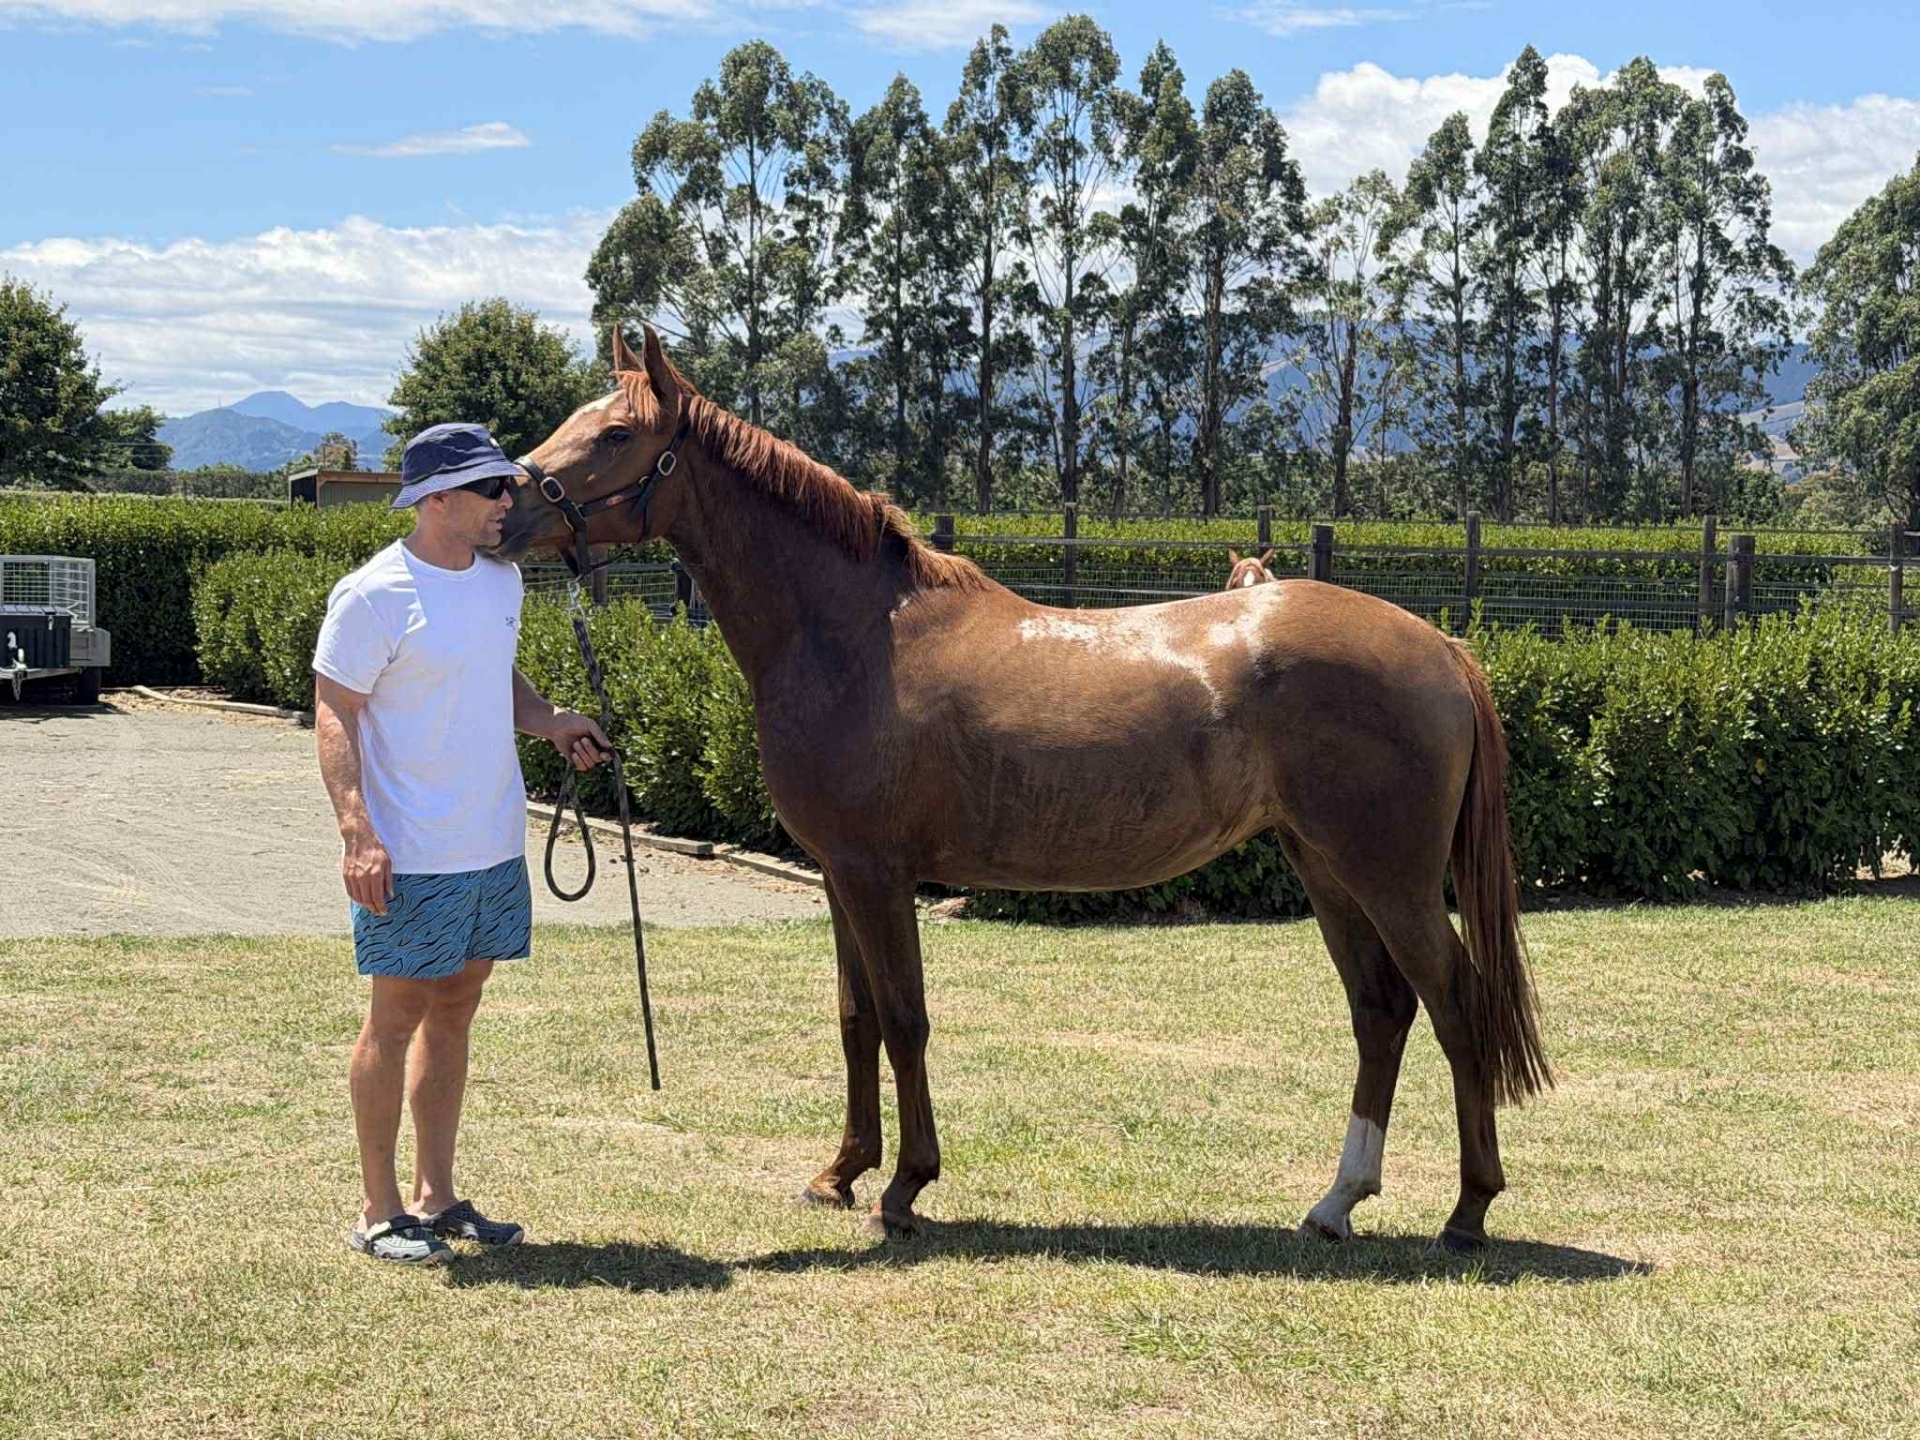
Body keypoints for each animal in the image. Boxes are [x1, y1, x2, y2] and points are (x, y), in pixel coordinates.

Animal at [492, 326, 1550, 1251]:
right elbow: (856, 1020)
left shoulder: (877, 874)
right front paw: (840, 1173)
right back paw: (1336, 1203)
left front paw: (905, 1187)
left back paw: (1468, 1210)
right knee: (1381, 1011)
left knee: (1457, 1007)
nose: (504, 508)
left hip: (1390, 878)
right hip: (1324, 865)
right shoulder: (838, 874)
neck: (856, 635)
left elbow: (905, 1020)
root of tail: (1441, 646)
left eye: (616, 435)